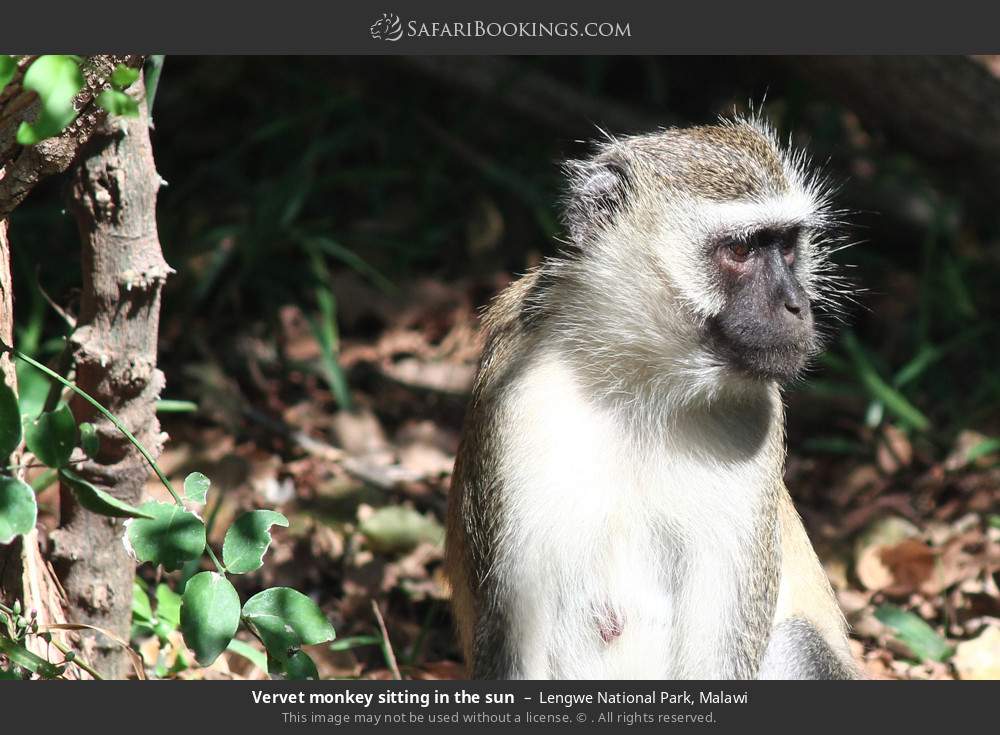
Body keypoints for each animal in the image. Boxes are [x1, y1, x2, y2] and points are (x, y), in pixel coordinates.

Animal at [444, 115, 860, 680]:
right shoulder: (516, 395)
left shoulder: (755, 418)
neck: (640, 383)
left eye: (788, 245)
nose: (797, 305)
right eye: (742, 250)